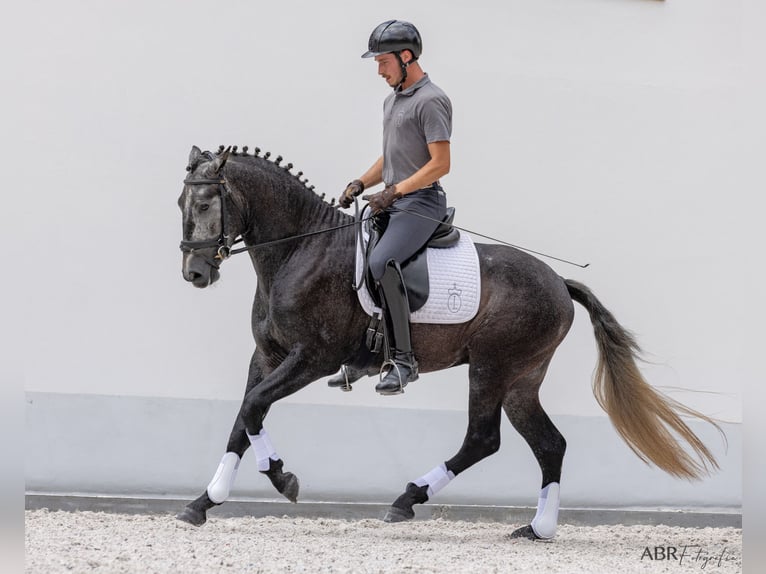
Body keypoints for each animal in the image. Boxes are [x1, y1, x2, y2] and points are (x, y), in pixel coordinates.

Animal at [177, 144, 724, 540]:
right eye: (181, 203)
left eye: (204, 204)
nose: (195, 273)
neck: (297, 250)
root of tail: (558, 283)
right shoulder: (267, 355)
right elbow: (244, 416)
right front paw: (203, 503)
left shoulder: (312, 357)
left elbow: (254, 407)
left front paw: (283, 478)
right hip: (522, 379)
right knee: (549, 444)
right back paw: (538, 529)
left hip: (491, 367)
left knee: (483, 438)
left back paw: (407, 500)